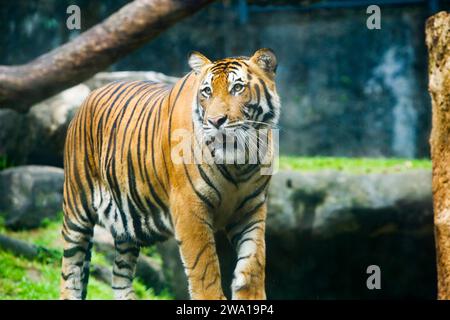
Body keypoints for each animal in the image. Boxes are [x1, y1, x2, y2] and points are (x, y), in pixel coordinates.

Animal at [61, 48, 282, 300]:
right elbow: (205, 268)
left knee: (120, 278)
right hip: (77, 209)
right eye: (207, 91)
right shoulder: (189, 207)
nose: (215, 121)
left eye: (237, 88)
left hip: (126, 224)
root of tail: (88, 97)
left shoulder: (252, 208)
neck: (239, 162)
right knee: (70, 269)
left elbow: (253, 263)